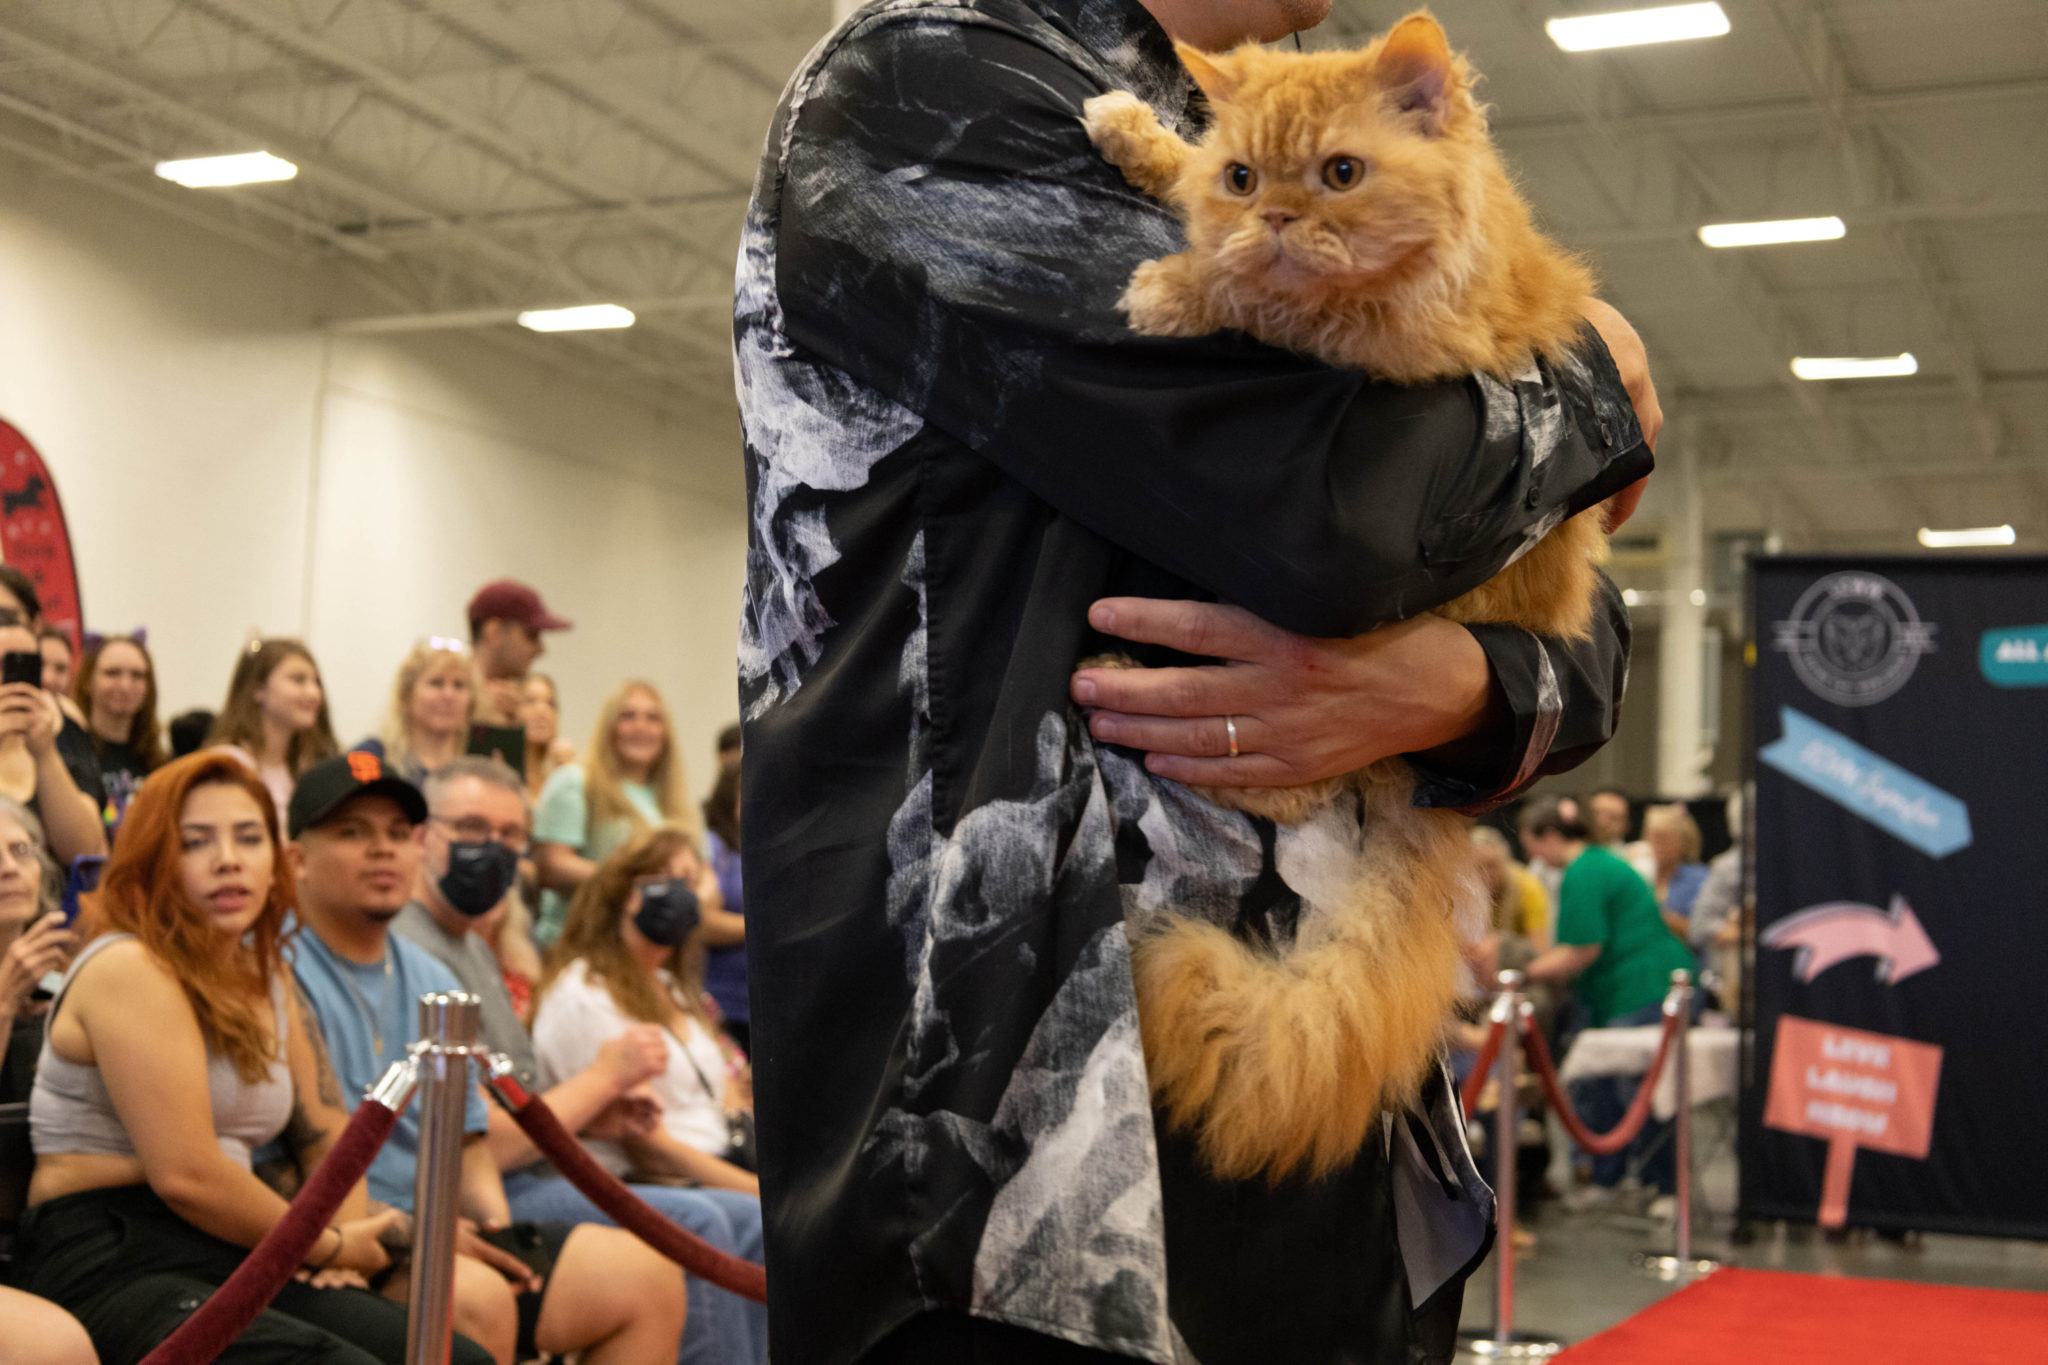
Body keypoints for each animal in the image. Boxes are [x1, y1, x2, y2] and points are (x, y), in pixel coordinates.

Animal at [1081, 10, 1605, 1186]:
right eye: (1245, 175)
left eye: (1340, 175)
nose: (1275, 216)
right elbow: (1197, 203)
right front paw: (1139, 136)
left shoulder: (1389, 348)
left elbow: (1257, 298)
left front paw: (1172, 288)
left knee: (1286, 776)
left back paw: (1131, 680)